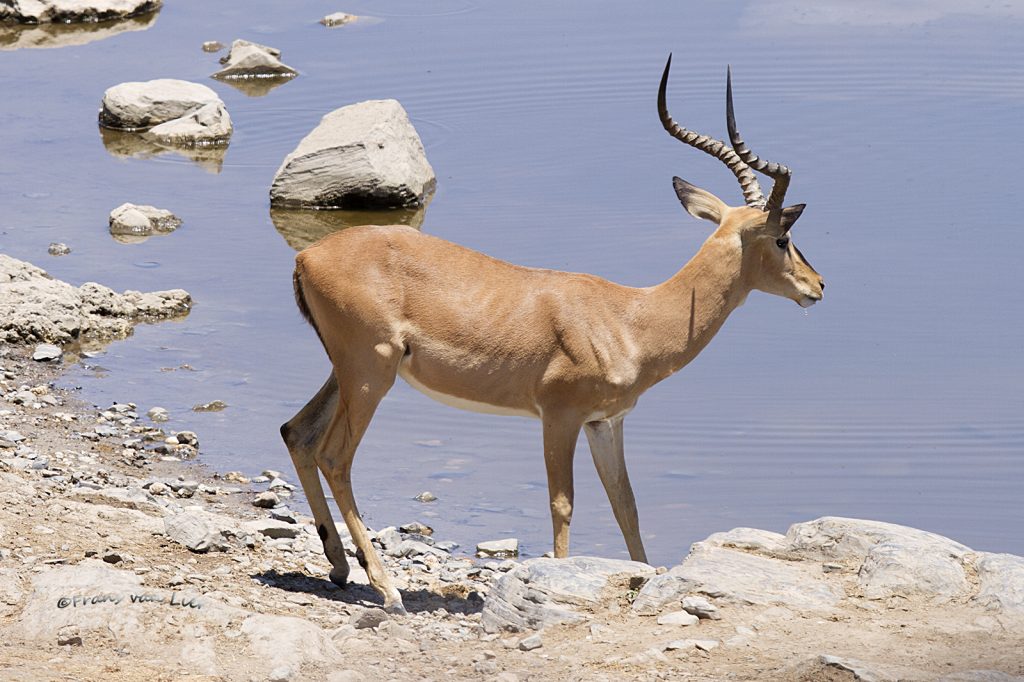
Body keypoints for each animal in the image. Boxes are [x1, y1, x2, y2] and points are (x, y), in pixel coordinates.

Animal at [280, 54, 824, 613]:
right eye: (783, 238)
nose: (817, 285)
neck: (631, 319)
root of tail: (308, 256)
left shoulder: (606, 422)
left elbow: (626, 503)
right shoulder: (558, 416)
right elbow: (563, 503)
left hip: (348, 372)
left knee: (296, 432)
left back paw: (340, 567)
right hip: (371, 373)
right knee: (334, 456)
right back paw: (387, 588)